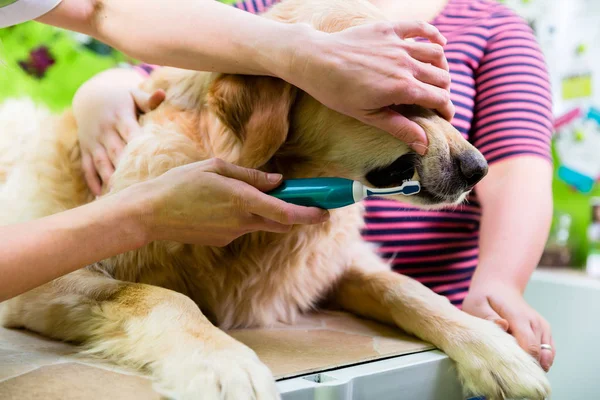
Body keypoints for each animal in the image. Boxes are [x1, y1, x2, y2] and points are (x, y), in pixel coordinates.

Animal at [0, 0, 548, 396]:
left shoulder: (329, 267)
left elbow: (406, 288)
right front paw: (222, 363)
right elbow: (160, 297)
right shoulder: (49, 283)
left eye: (445, 104)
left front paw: (496, 349)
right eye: (398, 102)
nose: (478, 170)